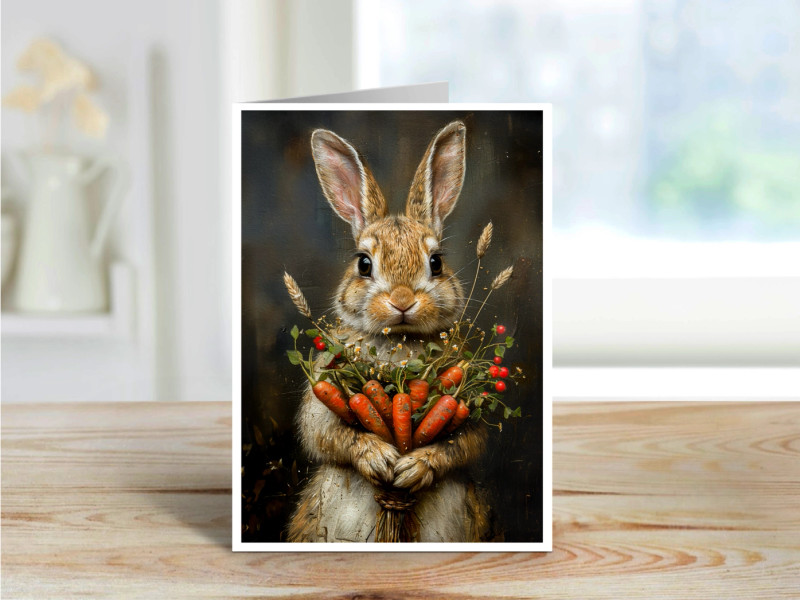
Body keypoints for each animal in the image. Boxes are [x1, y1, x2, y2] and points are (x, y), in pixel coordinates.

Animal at [287, 121, 492, 543]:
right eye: (364, 264)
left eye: (436, 262)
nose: (402, 300)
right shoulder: (321, 391)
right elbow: (325, 432)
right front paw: (379, 458)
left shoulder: (466, 409)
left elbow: (464, 442)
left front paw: (415, 467)